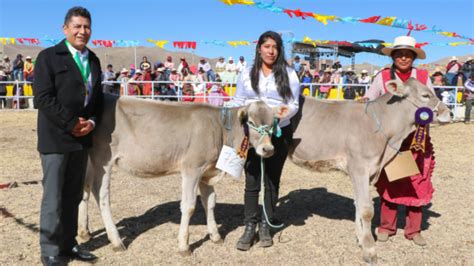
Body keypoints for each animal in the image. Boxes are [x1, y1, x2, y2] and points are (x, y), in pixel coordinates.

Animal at [78, 96, 288, 256]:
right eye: (251, 123)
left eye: (272, 124)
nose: (268, 149)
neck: (220, 129)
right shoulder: (192, 168)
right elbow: (188, 206)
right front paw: (183, 246)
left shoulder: (207, 171)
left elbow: (210, 202)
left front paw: (215, 236)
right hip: (103, 160)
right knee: (101, 195)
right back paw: (116, 241)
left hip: (89, 160)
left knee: (84, 190)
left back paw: (84, 232)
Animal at [288, 78, 448, 262]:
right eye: (425, 95)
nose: (449, 112)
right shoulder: (360, 169)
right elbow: (366, 209)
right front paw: (370, 249)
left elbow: (358, 204)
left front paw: (360, 240)